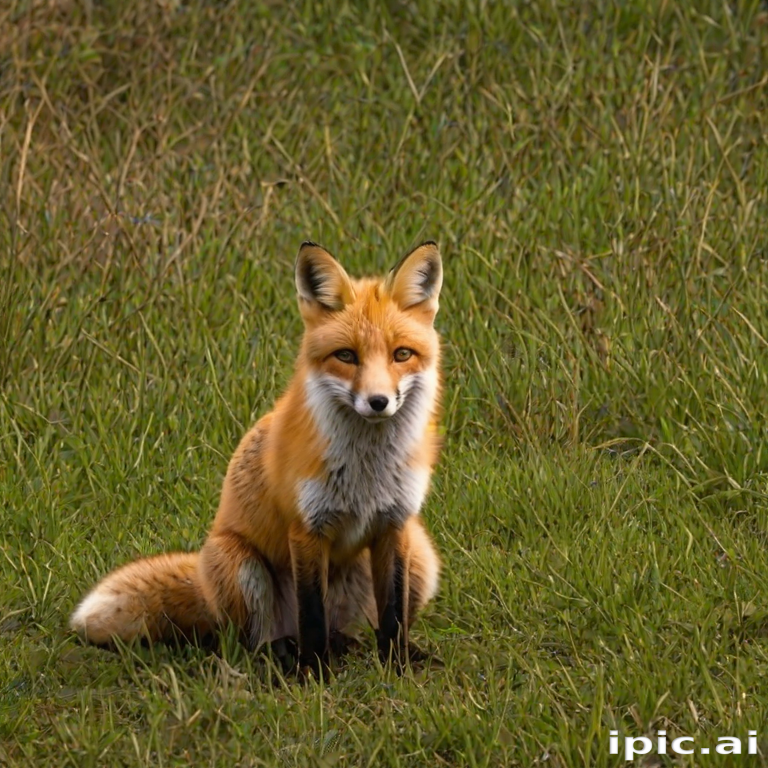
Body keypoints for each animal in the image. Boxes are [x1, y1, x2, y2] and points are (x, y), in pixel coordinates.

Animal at [70, 241, 444, 673]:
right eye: (346, 356)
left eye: (402, 354)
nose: (378, 402)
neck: (367, 473)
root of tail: (202, 580)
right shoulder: (306, 529)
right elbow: (311, 613)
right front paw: (314, 672)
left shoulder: (394, 525)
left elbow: (393, 612)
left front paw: (399, 665)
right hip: (239, 564)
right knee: (253, 641)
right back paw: (283, 653)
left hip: (421, 553)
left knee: (355, 627)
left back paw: (350, 644)